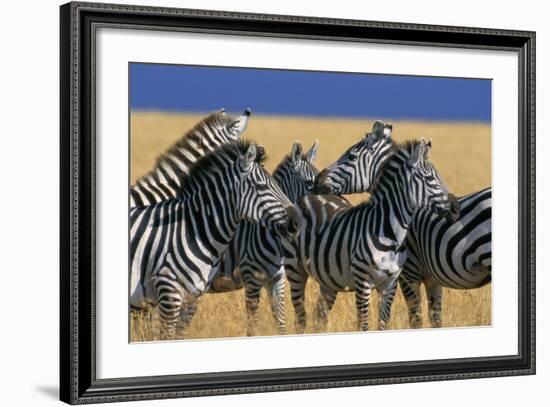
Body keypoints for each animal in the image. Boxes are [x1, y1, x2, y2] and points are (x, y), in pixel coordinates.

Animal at [286, 139, 460, 334]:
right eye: (430, 178)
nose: (456, 208)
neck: (391, 235)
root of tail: (308, 197)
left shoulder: (390, 284)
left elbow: (383, 323)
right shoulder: (363, 282)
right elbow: (363, 326)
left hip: (328, 279)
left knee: (319, 317)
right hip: (295, 269)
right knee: (300, 317)